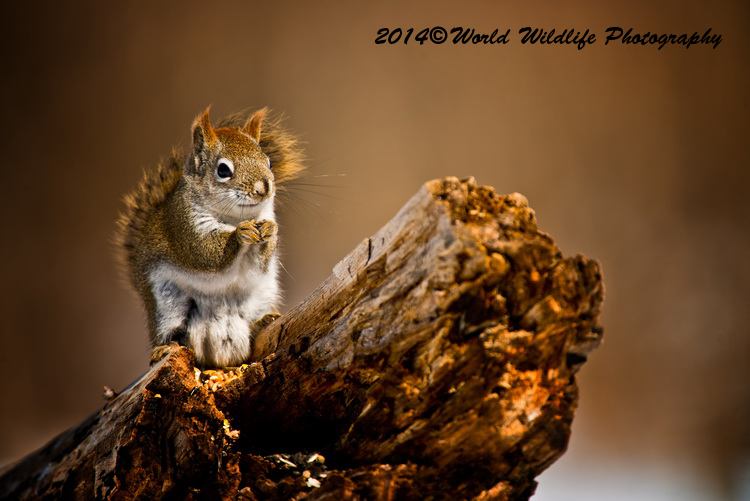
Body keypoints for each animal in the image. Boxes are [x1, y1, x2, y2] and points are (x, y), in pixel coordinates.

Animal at [115, 107, 304, 368]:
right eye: (223, 170)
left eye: (269, 162)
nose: (263, 188)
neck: (235, 216)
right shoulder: (183, 226)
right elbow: (205, 253)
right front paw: (240, 235)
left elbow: (260, 264)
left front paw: (269, 231)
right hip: (167, 305)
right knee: (171, 334)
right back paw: (166, 346)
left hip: (261, 297)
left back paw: (263, 321)